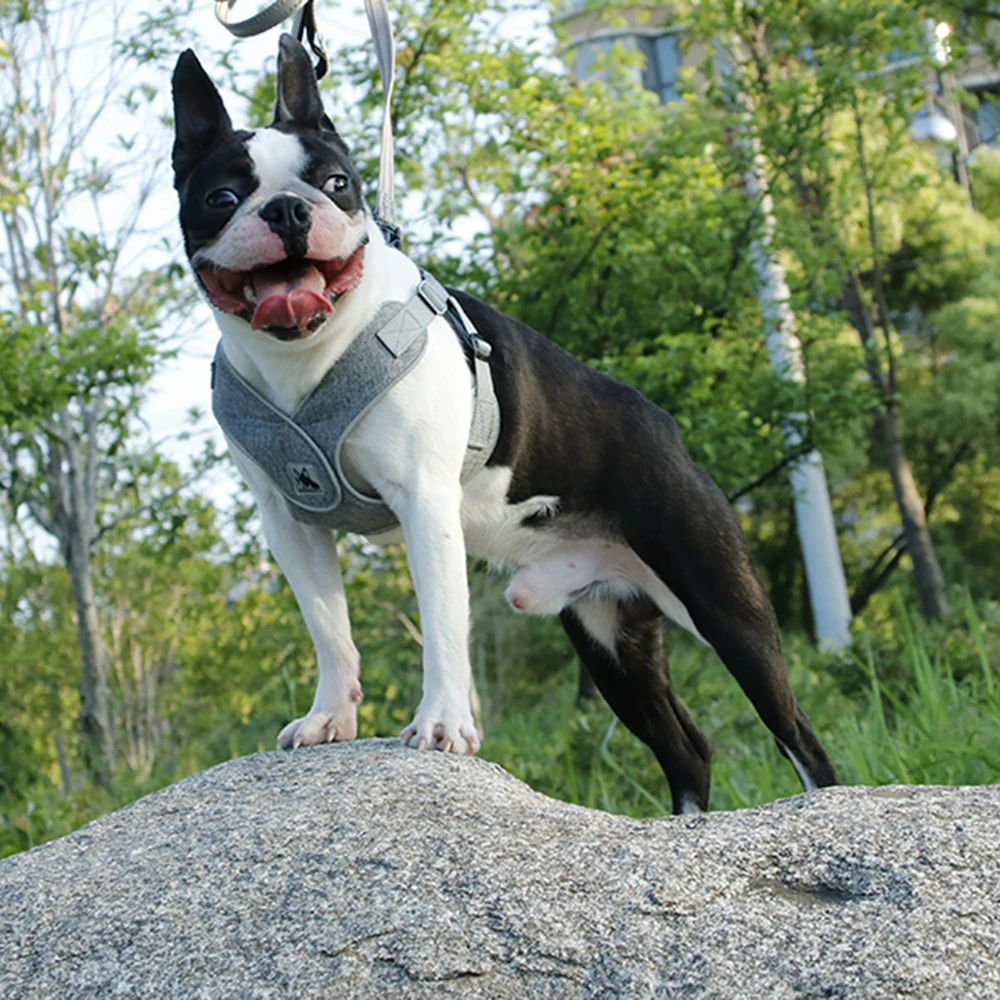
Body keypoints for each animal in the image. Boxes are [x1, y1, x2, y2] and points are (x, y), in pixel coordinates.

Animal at [170, 35, 836, 812]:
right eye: (222, 198)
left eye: (336, 184)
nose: (286, 211)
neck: (308, 356)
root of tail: (666, 429)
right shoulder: (291, 523)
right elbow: (330, 628)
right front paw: (329, 718)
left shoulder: (425, 506)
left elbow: (440, 626)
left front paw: (441, 726)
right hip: (610, 640)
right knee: (686, 747)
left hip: (724, 605)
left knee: (796, 733)